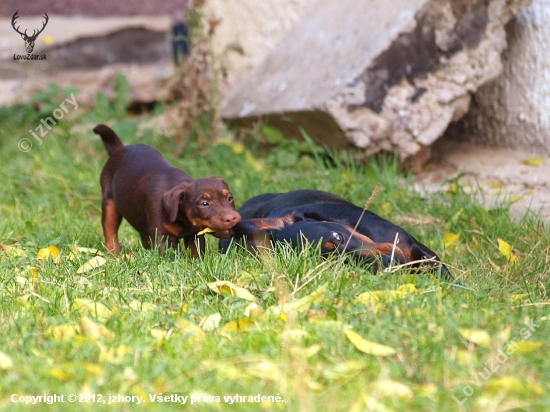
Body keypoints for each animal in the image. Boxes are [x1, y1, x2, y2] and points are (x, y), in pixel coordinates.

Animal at [95, 124, 242, 256]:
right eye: (204, 204)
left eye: (230, 198)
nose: (231, 218)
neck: (182, 218)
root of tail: (120, 149)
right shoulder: (163, 237)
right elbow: (174, 257)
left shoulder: (195, 235)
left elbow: (197, 253)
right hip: (109, 202)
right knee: (110, 229)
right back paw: (114, 252)